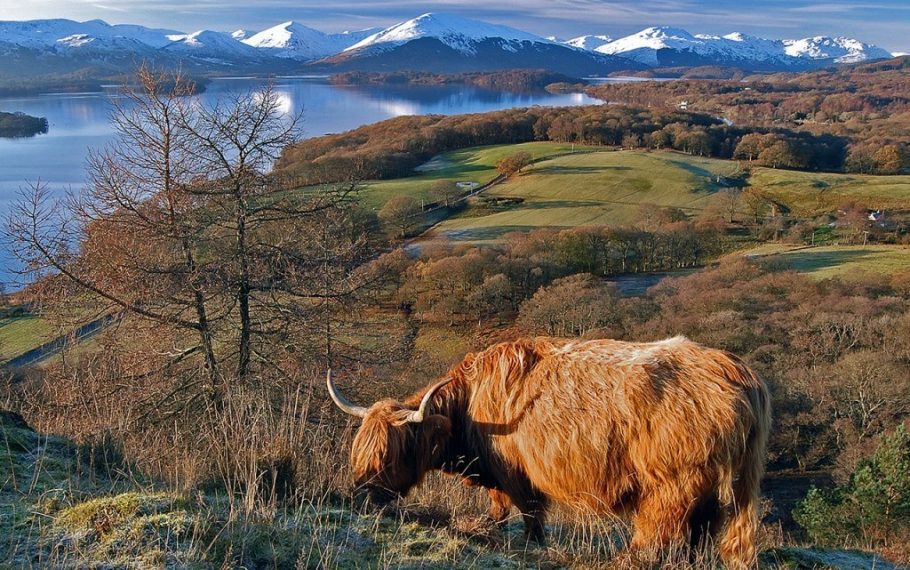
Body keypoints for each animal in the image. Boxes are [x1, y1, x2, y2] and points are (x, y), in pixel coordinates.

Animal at [328, 336, 768, 564]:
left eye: (390, 454)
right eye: (359, 452)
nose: (363, 495)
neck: (470, 406)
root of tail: (736, 370)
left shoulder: (519, 475)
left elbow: (530, 516)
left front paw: (532, 545)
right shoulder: (499, 478)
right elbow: (499, 509)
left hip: (672, 483)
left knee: (658, 530)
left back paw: (624, 558)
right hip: (721, 486)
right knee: (702, 534)